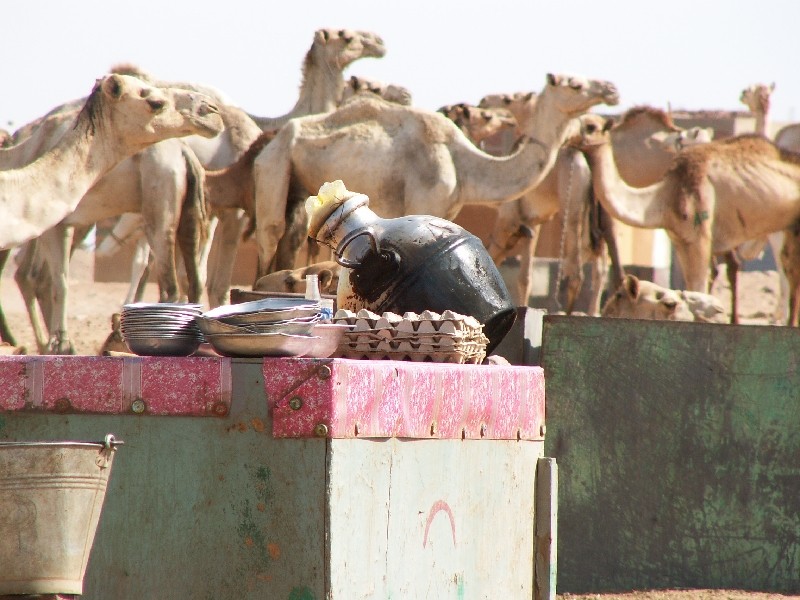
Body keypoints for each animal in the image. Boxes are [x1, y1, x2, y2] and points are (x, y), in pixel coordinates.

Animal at [253, 73, 620, 282]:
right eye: (574, 84)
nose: (612, 89)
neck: (465, 164)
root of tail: (273, 138)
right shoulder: (426, 196)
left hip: (298, 187)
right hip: (274, 166)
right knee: (269, 235)